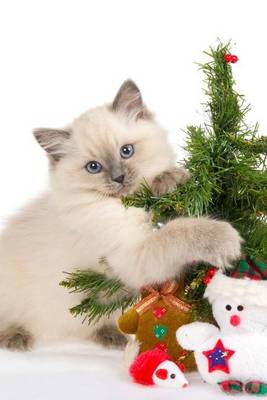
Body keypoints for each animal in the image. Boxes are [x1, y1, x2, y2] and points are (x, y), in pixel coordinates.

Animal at [0, 81, 243, 350]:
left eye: (126, 151)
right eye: (93, 167)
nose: (119, 177)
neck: (130, 204)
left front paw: (172, 180)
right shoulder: (132, 254)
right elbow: (178, 231)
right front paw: (227, 239)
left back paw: (111, 336)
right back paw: (16, 337)